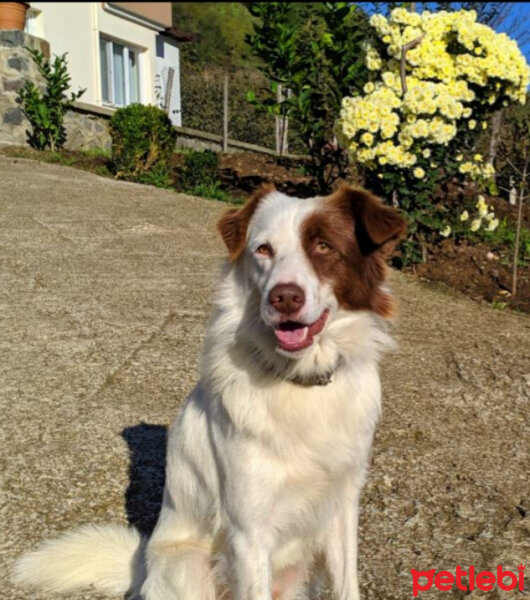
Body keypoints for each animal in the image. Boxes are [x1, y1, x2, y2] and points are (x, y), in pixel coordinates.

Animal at [15, 184, 404, 600]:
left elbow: (348, 583)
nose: (284, 297)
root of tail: (142, 567)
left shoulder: (342, 507)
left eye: (324, 246)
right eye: (263, 249)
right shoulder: (249, 532)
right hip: (187, 564)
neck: (298, 383)